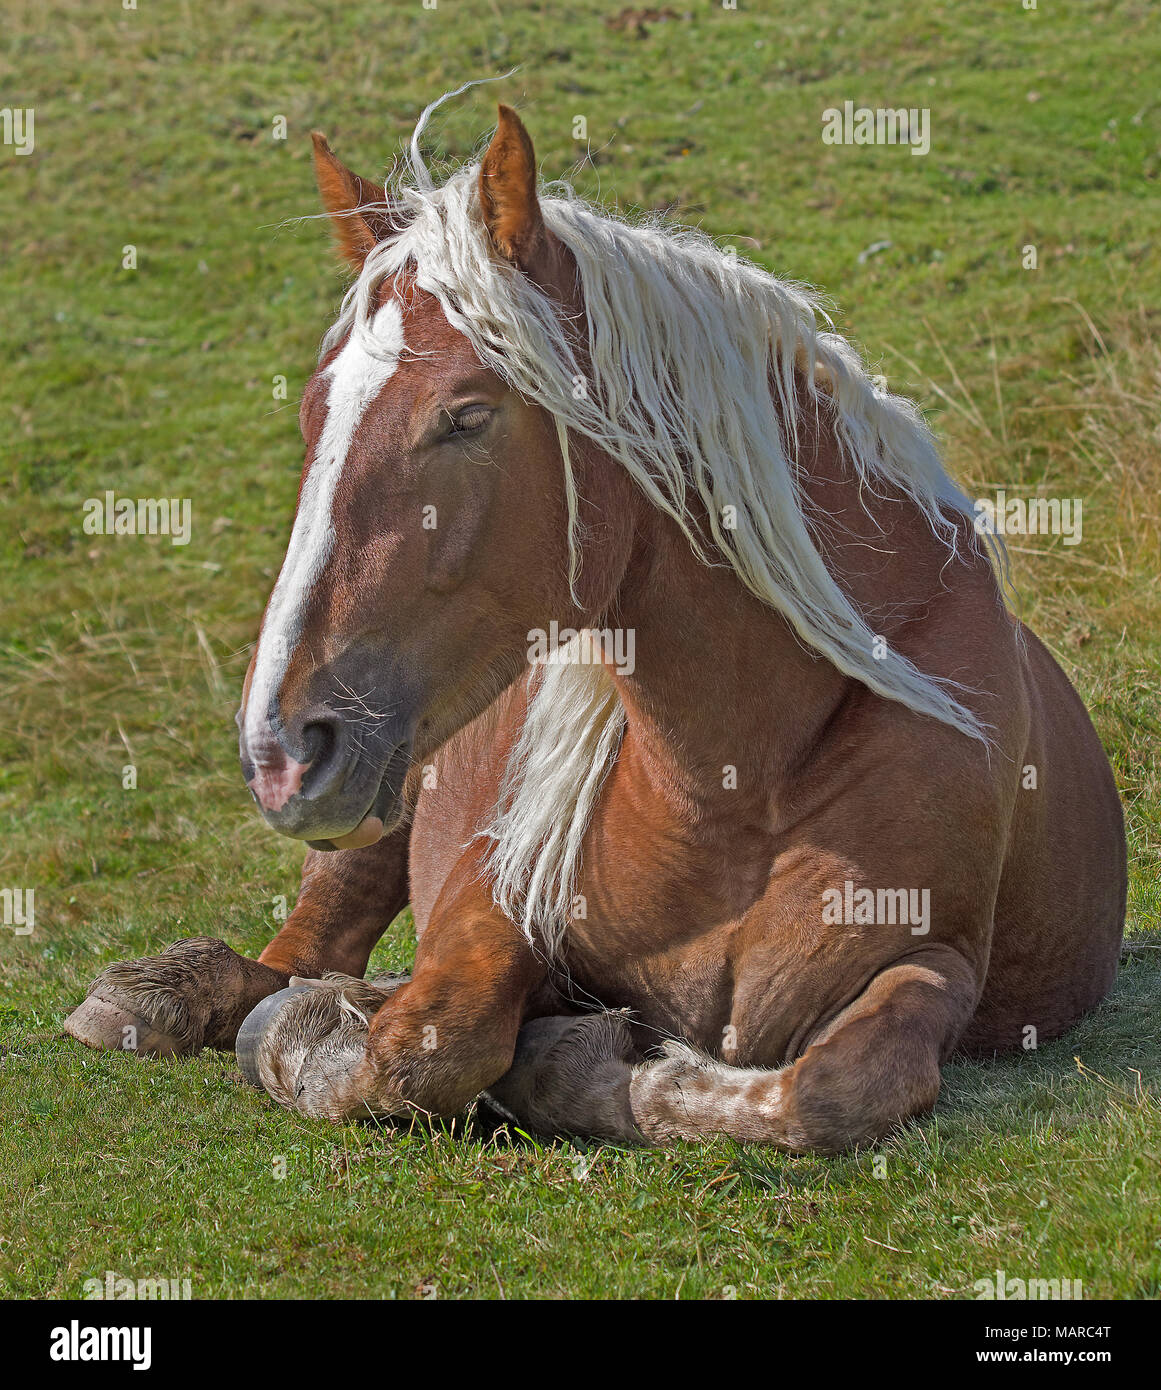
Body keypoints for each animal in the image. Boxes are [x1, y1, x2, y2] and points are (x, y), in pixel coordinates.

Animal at [65, 97, 1123, 1156]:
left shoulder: (933, 959)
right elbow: (417, 1047)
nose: (280, 747)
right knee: (292, 955)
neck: (739, 782)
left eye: (466, 415)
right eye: (312, 413)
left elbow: (834, 1087)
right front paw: (334, 1031)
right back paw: (159, 996)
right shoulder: (495, 888)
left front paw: (568, 1059)